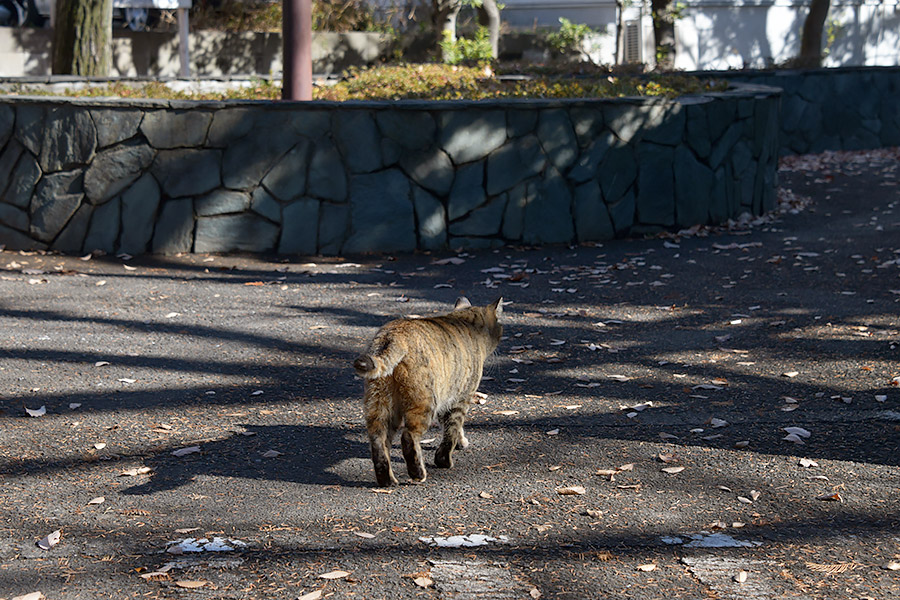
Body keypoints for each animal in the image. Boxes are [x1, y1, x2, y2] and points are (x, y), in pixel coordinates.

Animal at [356, 298, 502, 486]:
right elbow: (452, 430)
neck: (464, 321)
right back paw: (418, 473)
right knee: (408, 437)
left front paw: (460, 442)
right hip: (424, 403)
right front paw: (444, 459)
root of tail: (392, 335)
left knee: (378, 440)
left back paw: (387, 480)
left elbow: (451, 427)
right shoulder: (460, 398)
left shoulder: (446, 397)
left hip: (380, 404)